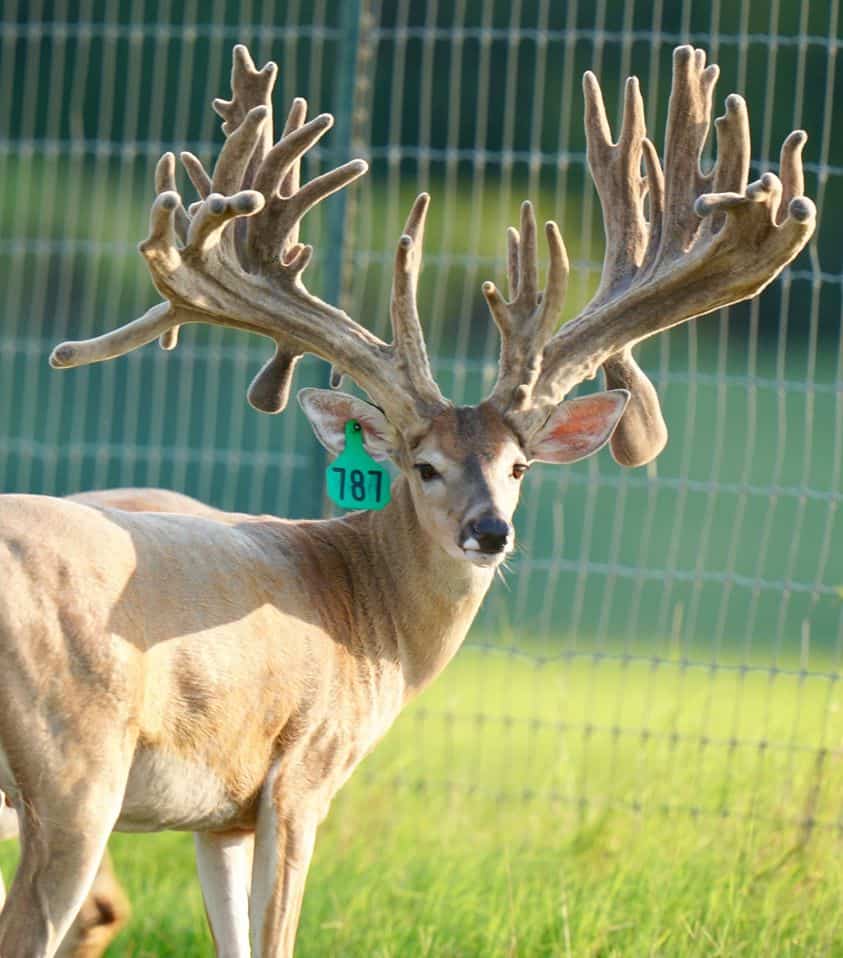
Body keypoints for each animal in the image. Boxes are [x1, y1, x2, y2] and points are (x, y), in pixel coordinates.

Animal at [0, 44, 814, 958]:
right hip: (75, 766)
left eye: (519, 467)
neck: (361, 604)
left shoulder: (221, 815)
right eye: (422, 466)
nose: (488, 532)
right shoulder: (302, 771)